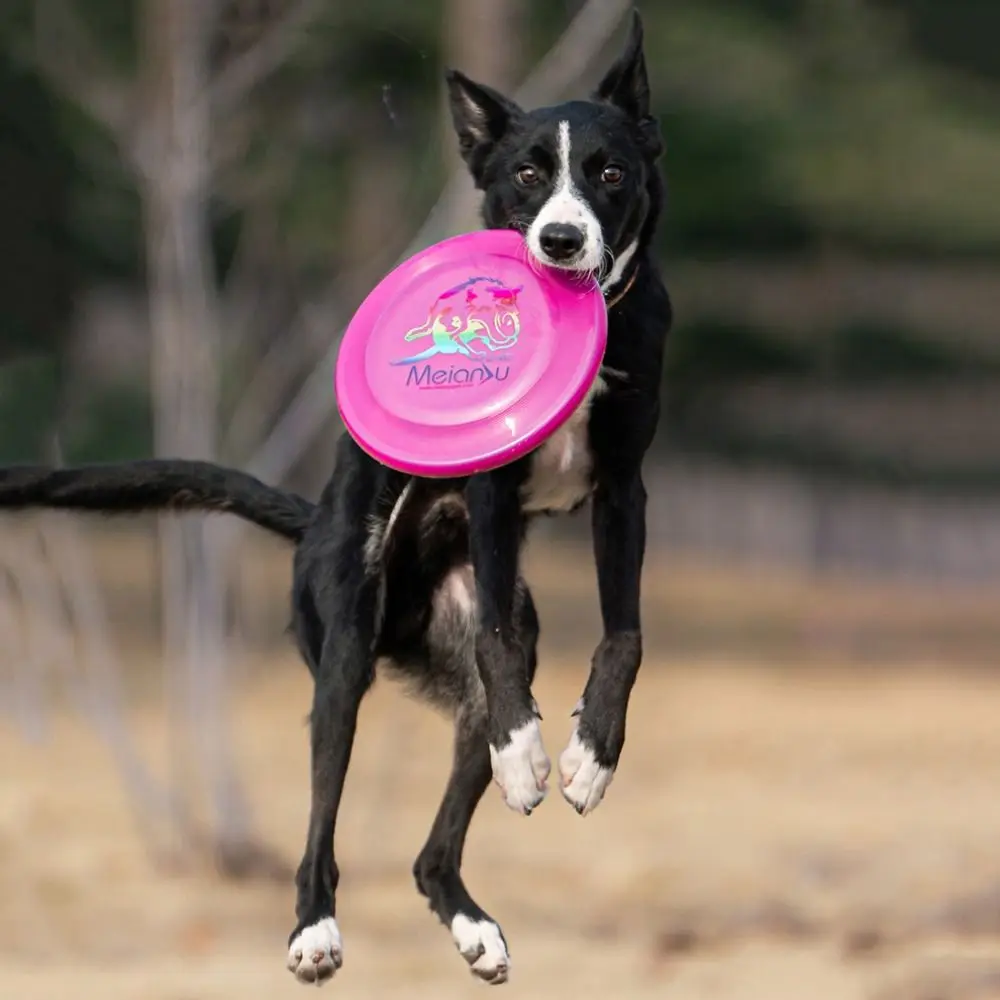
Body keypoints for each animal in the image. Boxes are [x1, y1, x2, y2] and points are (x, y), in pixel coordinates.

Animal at [0, 11, 676, 984]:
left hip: (461, 660)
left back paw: (473, 925)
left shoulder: (625, 488)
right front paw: (527, 757)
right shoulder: (494, 487)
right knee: (326, 811)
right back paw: (314, 927)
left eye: (609, 172)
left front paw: (592, 755)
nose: (557, 240)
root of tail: (311, 523)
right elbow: (502, 651)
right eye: (527, 175)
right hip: (344, 655)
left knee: (433, 848)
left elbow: (624, 636)